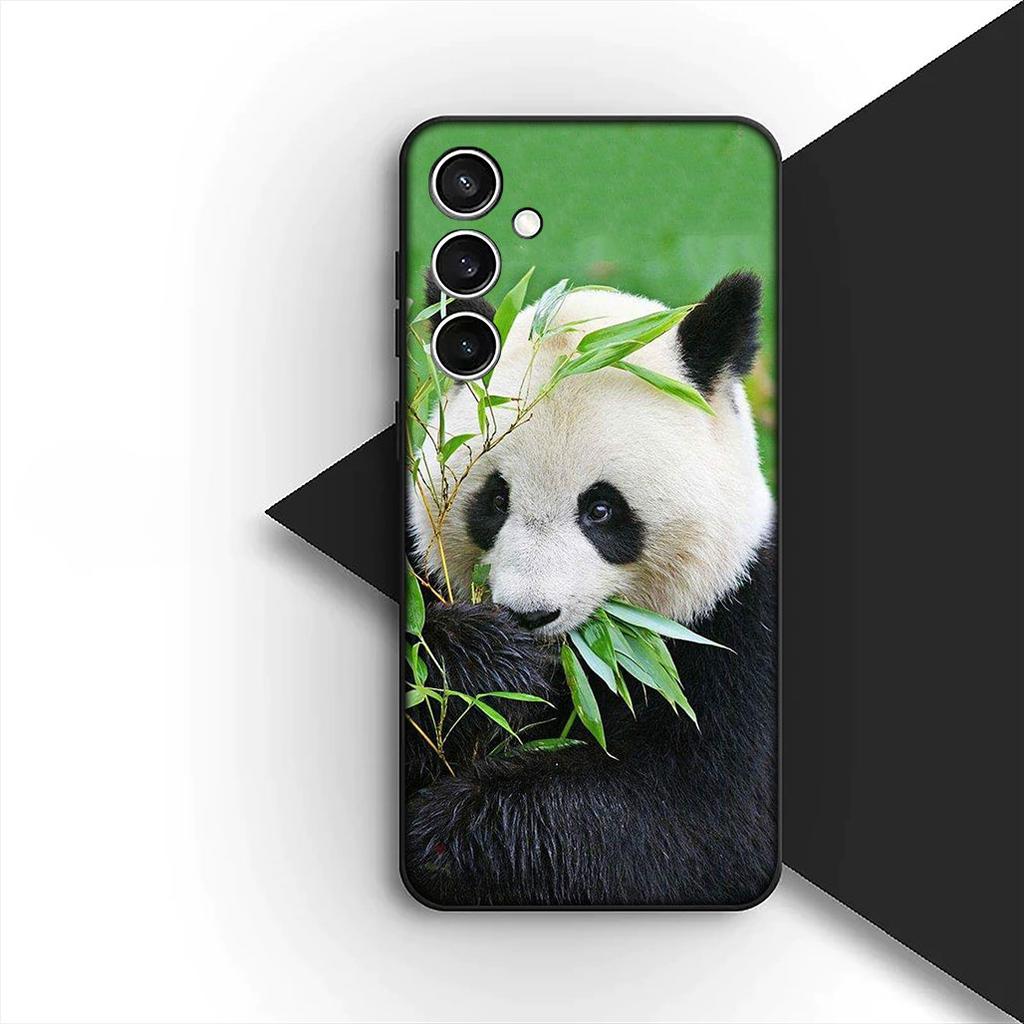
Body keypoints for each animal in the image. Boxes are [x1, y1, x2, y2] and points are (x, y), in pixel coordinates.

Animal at [404, 271, 778, 908]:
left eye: (601, 510)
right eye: (495, 500)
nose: (530, 614)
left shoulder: (739, 636)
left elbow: (696, 823)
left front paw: (448, 834)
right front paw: (486, 665)